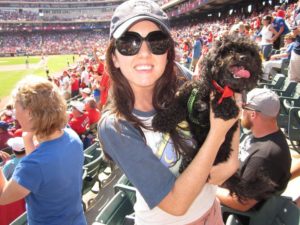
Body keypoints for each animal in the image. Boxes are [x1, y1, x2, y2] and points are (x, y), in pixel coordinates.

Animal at [154, 35, 262, 199]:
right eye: (228, 50)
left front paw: (224, 106)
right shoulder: (187, 97)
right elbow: (175, 108)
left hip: (221, 147)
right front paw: (160, 120)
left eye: (251, 53)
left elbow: (226, 98)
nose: (244, 58)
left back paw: (188, 161)